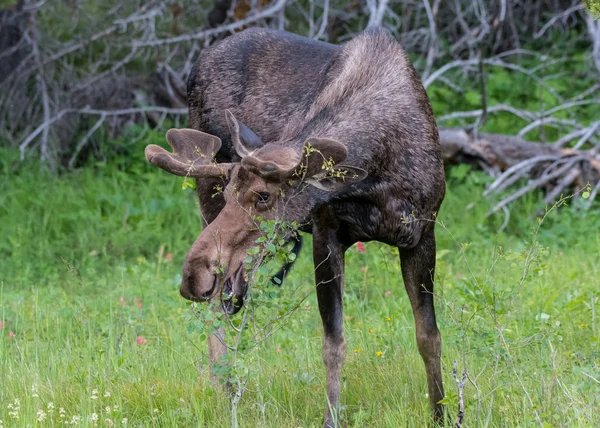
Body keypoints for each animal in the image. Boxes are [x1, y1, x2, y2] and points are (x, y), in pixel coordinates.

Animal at [145, 26, 446, 424]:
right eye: (229, 189)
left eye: (263, 196)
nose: (193, 275)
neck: (377, 176)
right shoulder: (325, 234)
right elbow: (334, 343)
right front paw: (331, 418)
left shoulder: (422, 233)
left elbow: (429, 337)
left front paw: (444, 413)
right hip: (205, 198)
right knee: (216, 315)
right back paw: (227, 395)